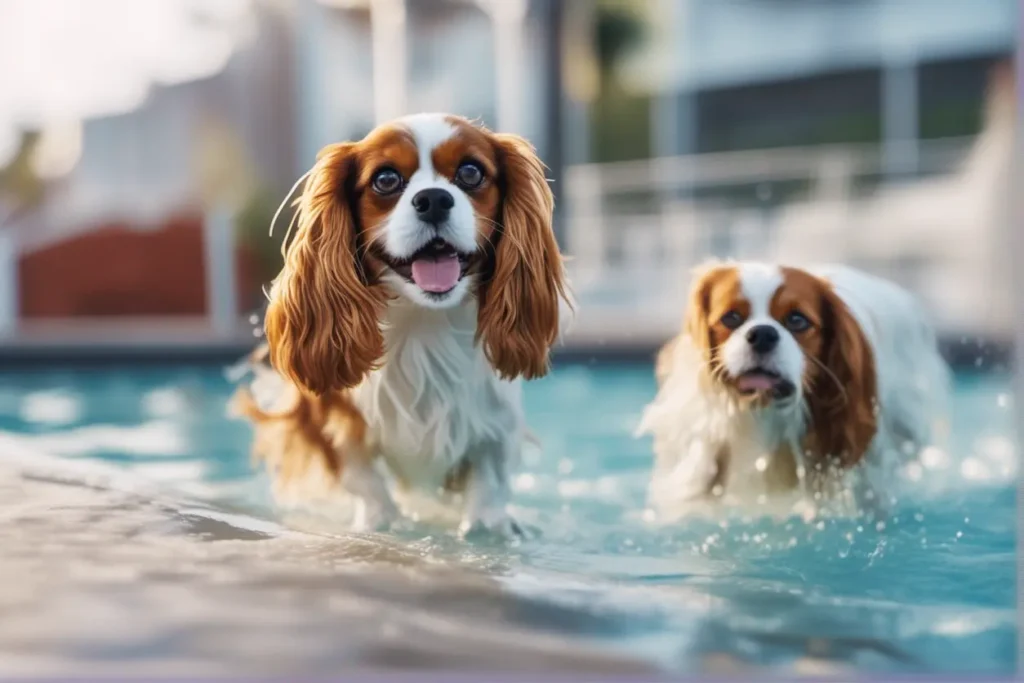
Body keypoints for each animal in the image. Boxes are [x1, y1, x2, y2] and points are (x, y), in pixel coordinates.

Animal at [228, 112, 573, 536]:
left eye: (471, 172)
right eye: (386, 179)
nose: (434, 199)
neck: (423, 323)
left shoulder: (493, 428)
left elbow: (487, 489)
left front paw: (486, 530)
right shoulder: (337, 423)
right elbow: (366, 483)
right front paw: (380, 524)